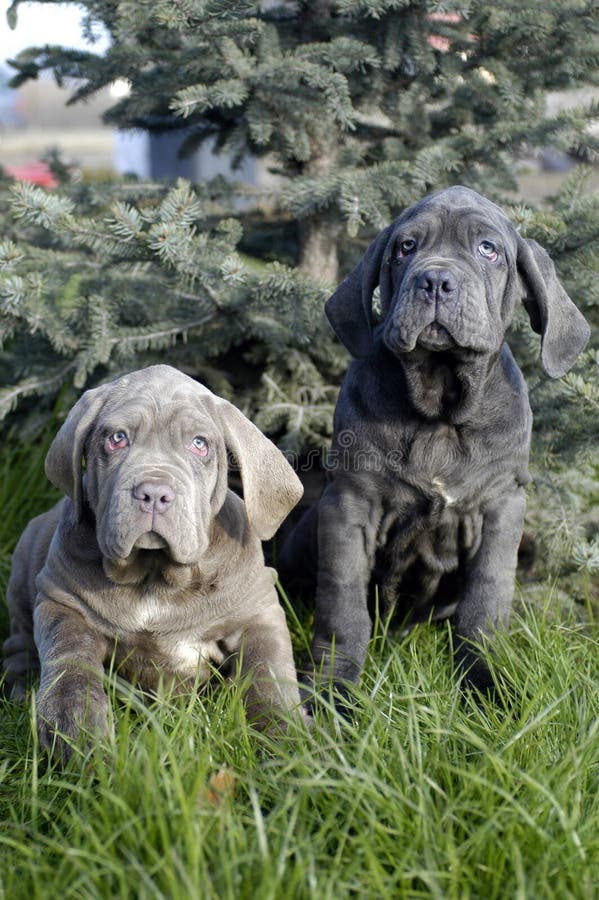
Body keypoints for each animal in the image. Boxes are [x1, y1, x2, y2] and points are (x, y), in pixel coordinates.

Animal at [2, 362, 304, 756]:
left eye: (199, 444)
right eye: (117, 438)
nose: (154, 493)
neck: (155, 577)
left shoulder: (258, 612)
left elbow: (269, 675)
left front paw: (286, 740)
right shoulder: (62, 602)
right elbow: (70, 662)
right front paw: (75, 730)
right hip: (25, 561)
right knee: (19, 641)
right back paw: (22, 686)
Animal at [282, 186, 592, 700]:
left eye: (488, 249)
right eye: (406, 247)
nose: (436, 281)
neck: (440, 410)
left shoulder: (502, 506)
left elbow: (485, 601)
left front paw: (485, 684)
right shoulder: (349, 503)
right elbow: (343, 604)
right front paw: (332, 689)